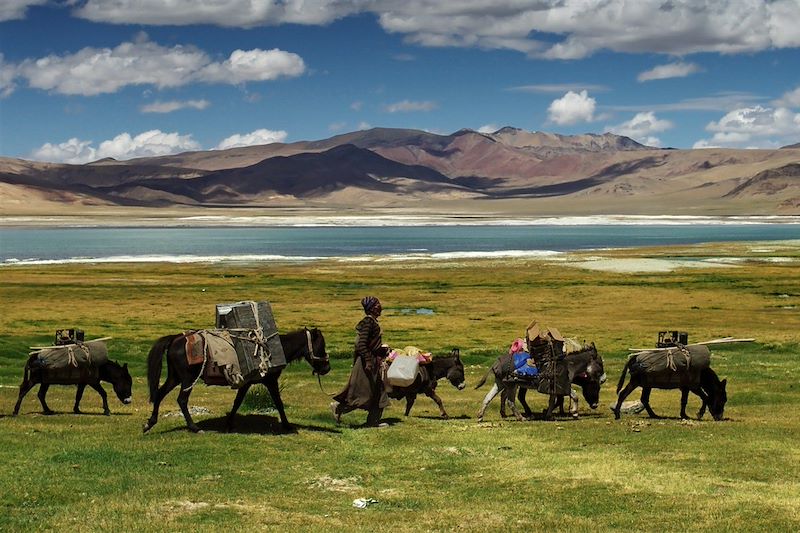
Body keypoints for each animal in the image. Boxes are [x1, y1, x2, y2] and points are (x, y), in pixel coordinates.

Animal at [145, 328, 332, 432]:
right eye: (321, 346)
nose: (327, 369)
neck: (275, 350)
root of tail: (176, 338)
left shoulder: (246, 383)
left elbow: (237, 402)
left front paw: (229, 424)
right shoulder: (270, 382)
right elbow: (278, 402)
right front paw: (287, 425)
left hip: (175, 377)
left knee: (160, 394)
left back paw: (150, 424)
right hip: (187, 378)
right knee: (182, 400)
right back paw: (195, 428)